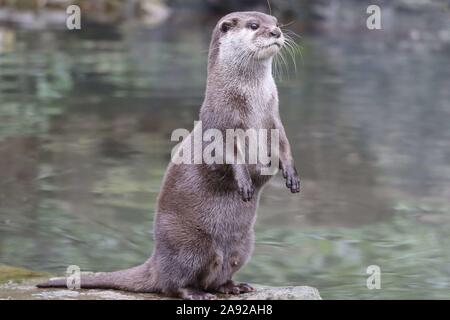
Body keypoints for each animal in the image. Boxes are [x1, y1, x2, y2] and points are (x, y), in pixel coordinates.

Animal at [37, 10, 298, 300]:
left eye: (275, 22)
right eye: (254, 25)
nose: (276, 32)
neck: (251, 104)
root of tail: (156, 260)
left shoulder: (274, 119)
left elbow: (284, 145)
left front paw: (291, 173)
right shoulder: (220, 123)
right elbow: (228, 155)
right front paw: (243, 181)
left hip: (244, 244)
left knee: (219, 275)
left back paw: (234, 286)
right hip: (191, 245)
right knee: (173, 283)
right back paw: (195, 292)